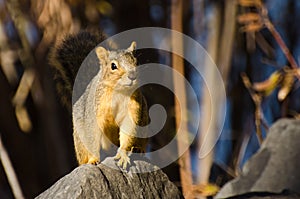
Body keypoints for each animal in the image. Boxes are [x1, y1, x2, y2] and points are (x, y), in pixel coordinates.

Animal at [49, 30, 150, 168]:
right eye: (113, 66)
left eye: (136, 62)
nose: (132, 76)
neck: (119, 92)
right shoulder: (94, 113)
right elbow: (93, 134)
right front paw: (94, 159)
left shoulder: (133, 108)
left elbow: (128, 129)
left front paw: (123, 154)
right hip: (80, 140)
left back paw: (138, 149)